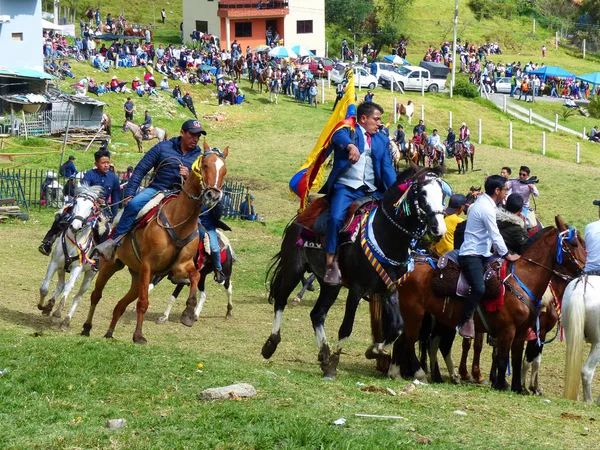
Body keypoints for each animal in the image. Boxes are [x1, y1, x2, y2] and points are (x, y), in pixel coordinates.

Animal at [38, 184, 110, 330]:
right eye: (76, 202)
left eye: (91, 208)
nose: (75, 226)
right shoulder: (55, 263)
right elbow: (44, 288)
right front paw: (42, 306)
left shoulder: (77, 269)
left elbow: (68, 288)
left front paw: (57, 314)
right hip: (61, 268)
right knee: (60, 285)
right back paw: (49, 306)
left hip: (89, 276)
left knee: (77, 296)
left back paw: (66, 320)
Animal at [81, 139, 229, 342]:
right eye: (205, 165)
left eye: (224, 171)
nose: (212, 196)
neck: (178, 221)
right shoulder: (148, 265)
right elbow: (143, 303)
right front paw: (138, 336)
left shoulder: (181, 266)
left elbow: (194, 277)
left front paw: (188, 314)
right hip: (110, 266)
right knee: (96, 295)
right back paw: (87, 327)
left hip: (137, 277)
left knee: (120, 304)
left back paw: (109, 332)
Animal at [370, 216, 584, 392]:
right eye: (573, 243)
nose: (585, 269)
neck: (522, 281)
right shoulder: (509, 330)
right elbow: (504, 358)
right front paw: (502, 385)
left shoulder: (522, 332)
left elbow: (517, 359)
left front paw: (518, 387)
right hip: (415, 315)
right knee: (412, 343)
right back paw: (421, 374)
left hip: (421, 318)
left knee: (407, 342)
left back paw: (397, 373)